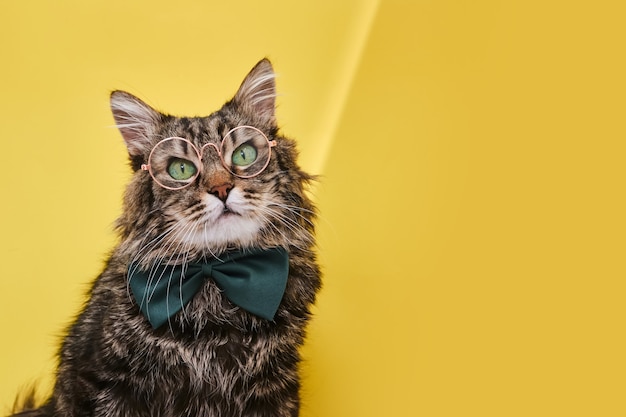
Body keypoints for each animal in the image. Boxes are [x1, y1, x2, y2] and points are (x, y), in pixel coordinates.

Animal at [8, 58, 322, 416]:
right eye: (181, 170)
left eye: (243, 155)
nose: (221, 189)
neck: (215, 279)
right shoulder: (110, 385)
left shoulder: (274, 389)